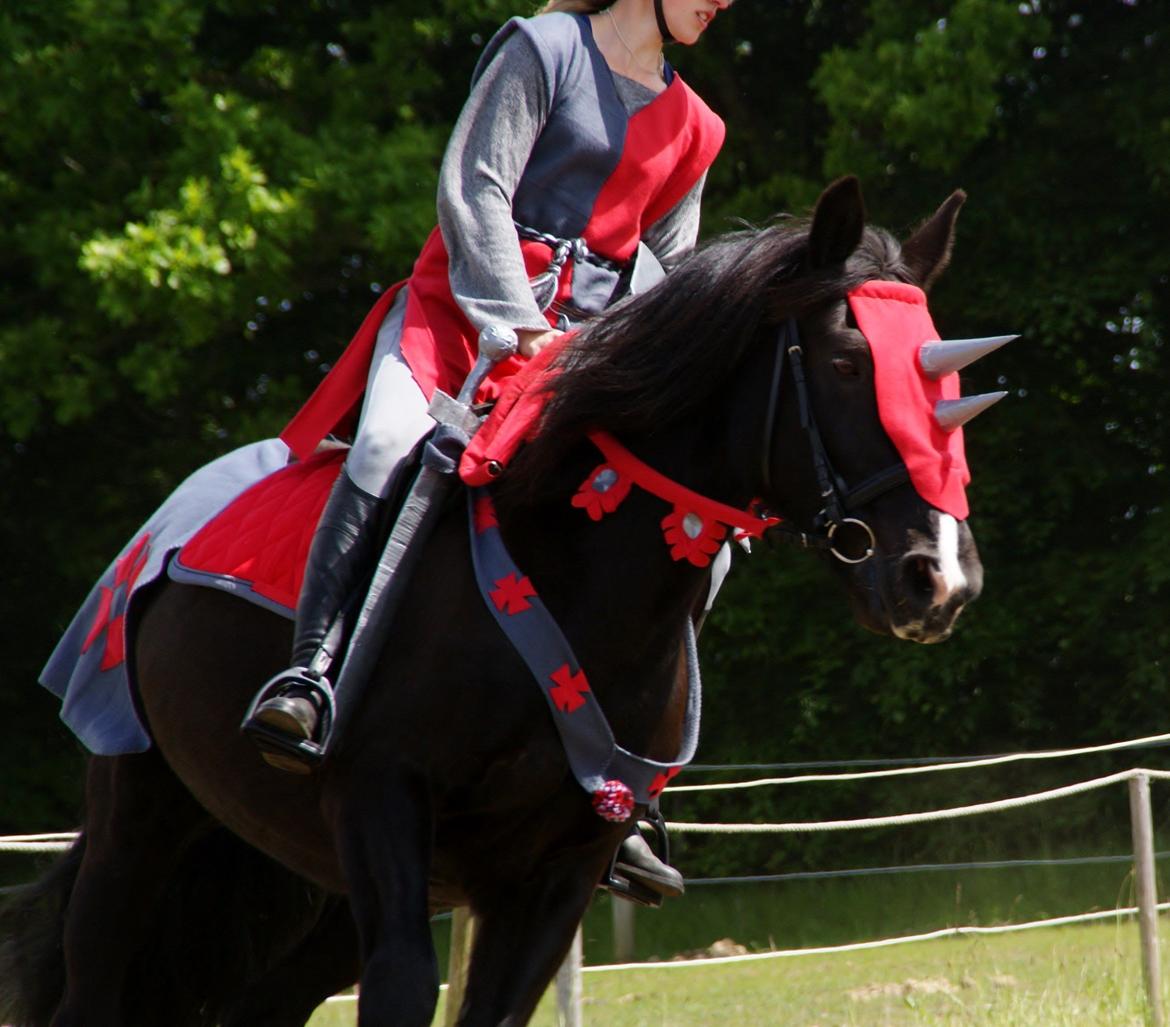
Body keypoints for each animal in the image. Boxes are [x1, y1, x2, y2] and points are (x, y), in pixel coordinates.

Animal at [0, 176, 992, 1019]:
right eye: (847, 359)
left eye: (943, 377)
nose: (941, 577)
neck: (570, 588)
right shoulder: (382, 797)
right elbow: (407, 984)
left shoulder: (560, 872)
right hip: (139, 826)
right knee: (93, 981)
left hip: (313, 889)